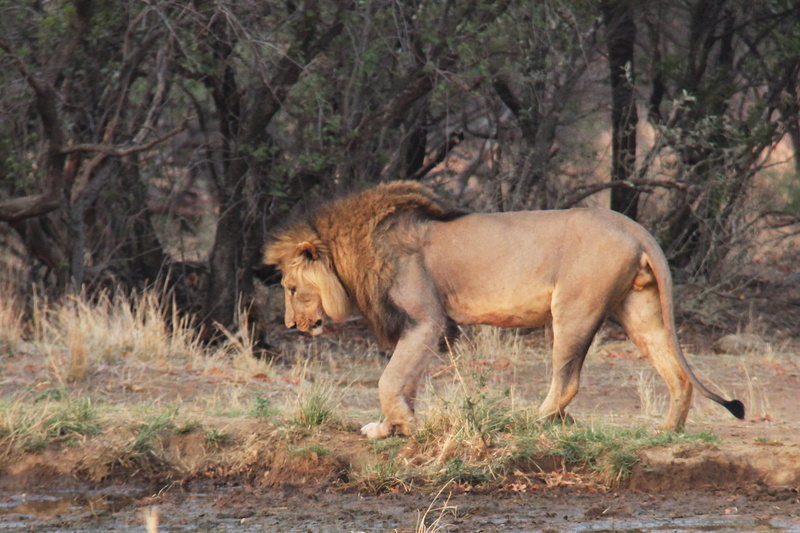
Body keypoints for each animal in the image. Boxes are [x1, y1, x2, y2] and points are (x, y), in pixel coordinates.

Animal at [264, 181, 744, 439]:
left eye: (291, 287)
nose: (289, 324)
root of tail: (630, 224)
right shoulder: (421, 327)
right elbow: (405, 381)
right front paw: (388, 429)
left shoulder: (426, 319)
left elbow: (389, 380)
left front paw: (406, 426)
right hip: (639, 310)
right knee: (678, 374)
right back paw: (667, 431)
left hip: (574, 310)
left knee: (567, 381)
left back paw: (530, 422)